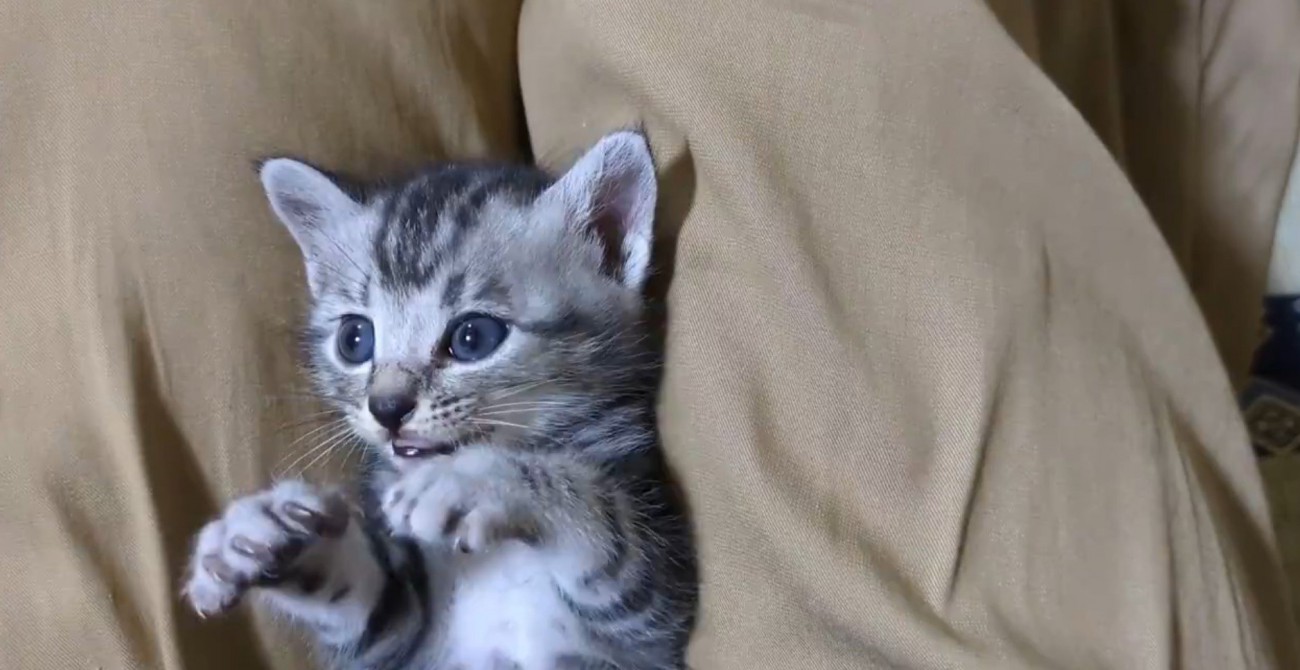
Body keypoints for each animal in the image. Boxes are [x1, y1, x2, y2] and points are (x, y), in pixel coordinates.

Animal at [183, 132, 702, 670]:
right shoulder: (391, 653)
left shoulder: (652, 623)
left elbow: (603, 519)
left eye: (473, 337)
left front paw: (474, 480)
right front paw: (271, 532)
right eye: (354, 340)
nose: (387, 407)